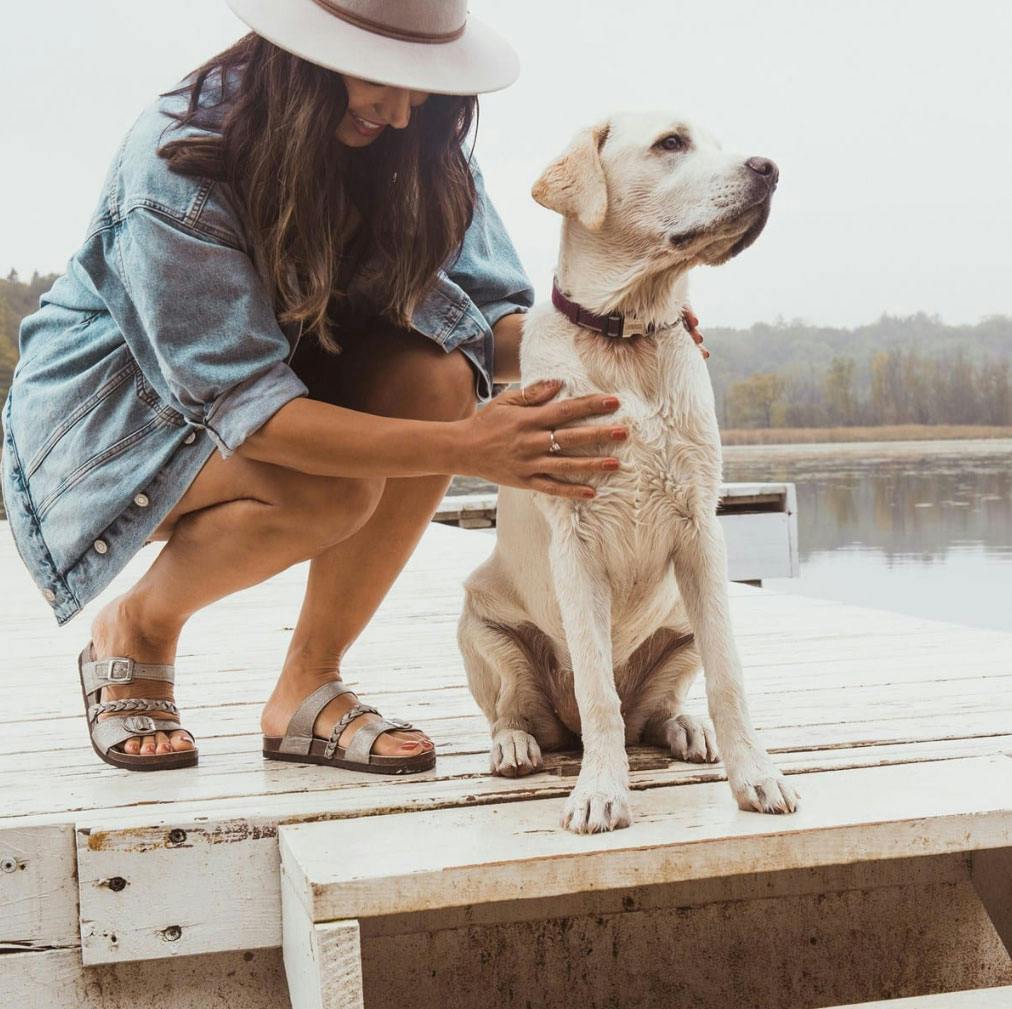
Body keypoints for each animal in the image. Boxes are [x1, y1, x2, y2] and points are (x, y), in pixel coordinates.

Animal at [457, 110, 797, 833]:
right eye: (671, 142)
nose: (770, 168)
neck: (626, 334)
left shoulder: (703, 534)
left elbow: (730, 677)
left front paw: (756, 776)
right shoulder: (576, 544)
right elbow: (597, 690)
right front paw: (601, 792)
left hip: (681, 624)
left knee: (655, 710)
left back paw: (686, 728)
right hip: (483, 630)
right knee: (519, 709)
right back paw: (516, 744)